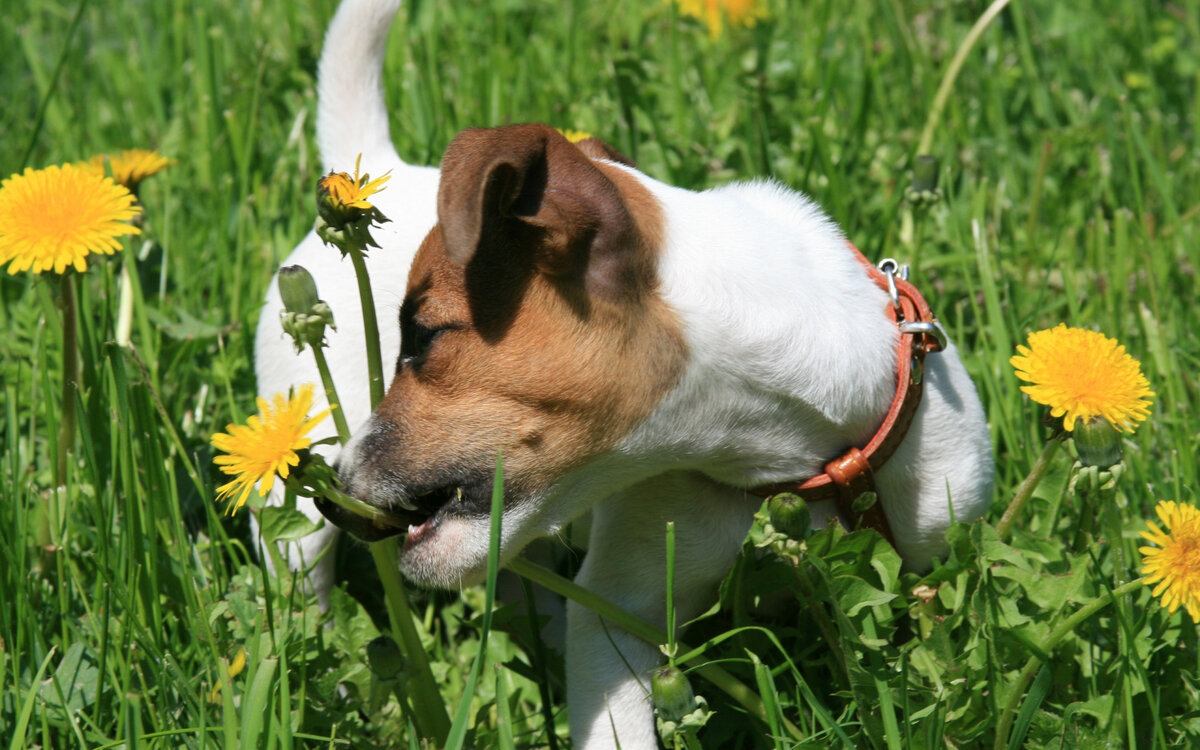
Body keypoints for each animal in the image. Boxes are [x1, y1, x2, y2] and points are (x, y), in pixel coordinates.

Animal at [255, 0, 993, 744]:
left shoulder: (938, 542)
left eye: (426, 337)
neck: (798, 463)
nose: (337, 491)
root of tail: (382, 168)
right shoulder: (619, 612)